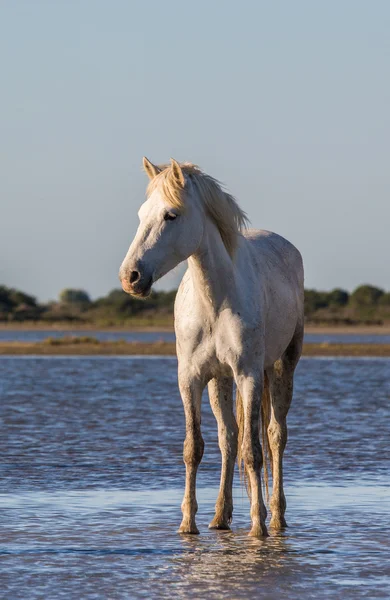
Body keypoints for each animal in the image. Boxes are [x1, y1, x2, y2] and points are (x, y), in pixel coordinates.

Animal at [119, 157, 304, 536]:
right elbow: (195, 447)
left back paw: (276, 517)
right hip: (220, 379)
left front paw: (258, 528)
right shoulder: (190, 378)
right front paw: (187, 524)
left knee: (275, 436)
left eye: (171, 215)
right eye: (142, 213)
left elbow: (254, 451)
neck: (215, 301)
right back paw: (220, 516)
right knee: (227, 437)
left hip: (282, 367)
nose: (130, 277)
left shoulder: (249, 375)